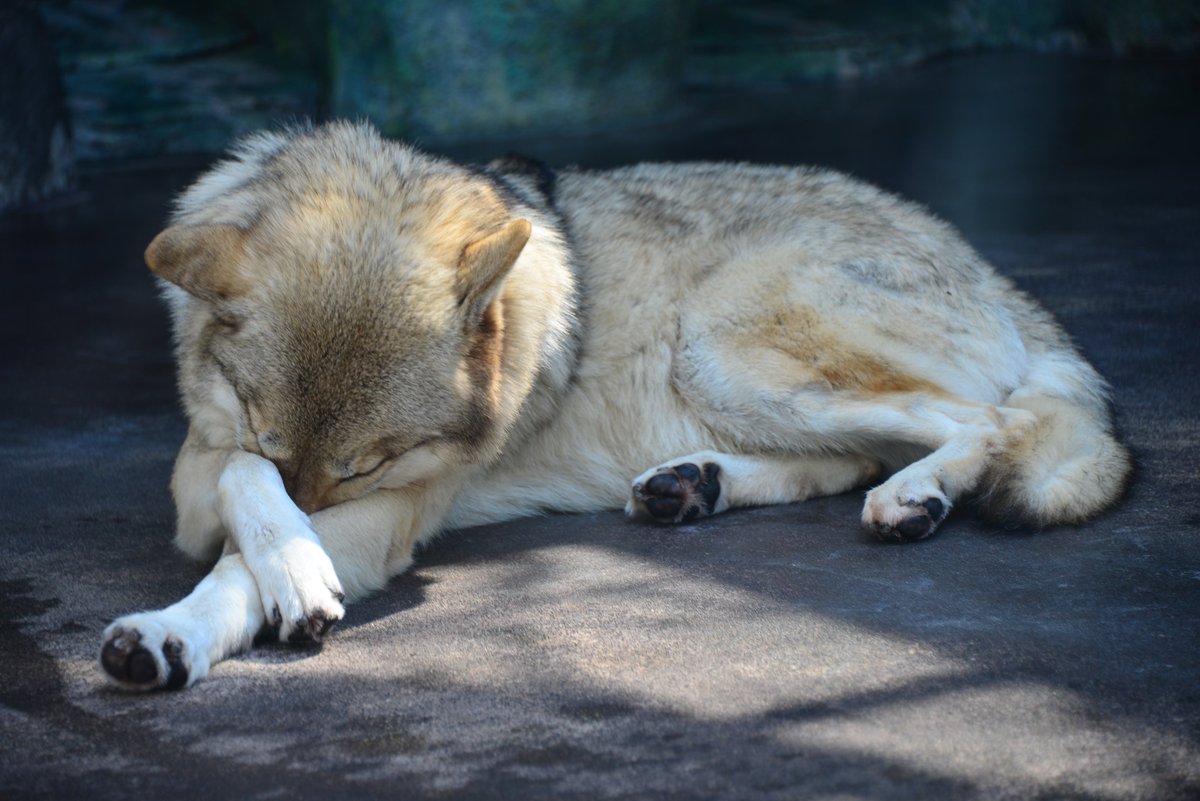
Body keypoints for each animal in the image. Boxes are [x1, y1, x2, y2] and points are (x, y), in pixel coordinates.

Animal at [98, 123, 1128, 690]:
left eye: (370, 465)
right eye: (275, 433)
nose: (314, 516)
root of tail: (984, 264)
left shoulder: (387, 513)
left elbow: (244, 561)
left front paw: (216, 614)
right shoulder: (202, 470)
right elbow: (240, 476)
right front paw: (240, 589)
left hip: (716, 345)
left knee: (983, 425)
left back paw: (914, 498)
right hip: (730, 379)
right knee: (857, 457)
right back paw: (694, 483)